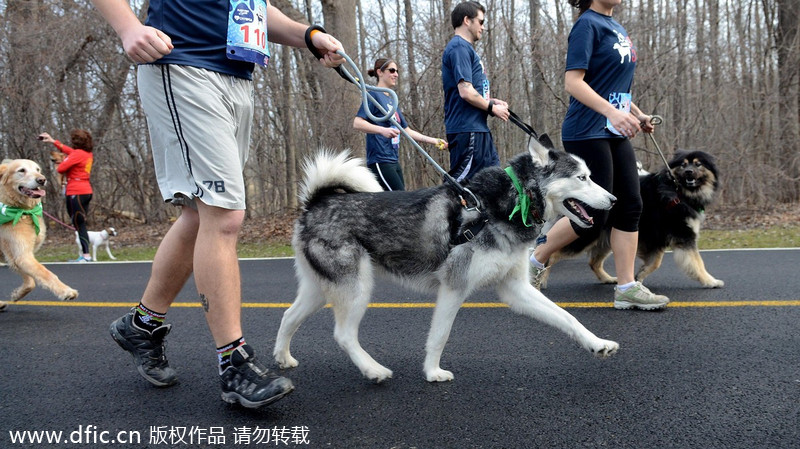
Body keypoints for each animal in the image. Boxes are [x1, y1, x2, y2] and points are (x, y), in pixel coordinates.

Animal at [276, 141, 620, 382]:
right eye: (582, 178)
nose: (615, 199)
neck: (507, 203)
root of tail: (315, 202)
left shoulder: (516, 289)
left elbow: (567, 317)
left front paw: (596, 343)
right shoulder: (455, 288)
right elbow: (440, 336)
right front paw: (432, 373)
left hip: (320, 290)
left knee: (289, 316)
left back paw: (283, 358)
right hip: (357, 289)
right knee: (344, 335)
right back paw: (373, 370)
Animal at [536, 149, 724, 288]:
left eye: (698, 164)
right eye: (684, 165)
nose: (689, 172)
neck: (677, 190)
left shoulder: (656, 238)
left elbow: (655, 262)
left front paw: (639, 275)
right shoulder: (682, 235)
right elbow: (697, 262)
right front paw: (710, 280)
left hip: (605, 237)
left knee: (593, 262)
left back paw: (607, 278)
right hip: (586, 234)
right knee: (551, 253)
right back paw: (541, 278)